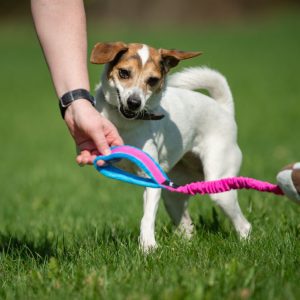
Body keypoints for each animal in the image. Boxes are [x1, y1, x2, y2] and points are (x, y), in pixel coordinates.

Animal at [91, 42, 251, 252]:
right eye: (124, 73)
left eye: (152, 80)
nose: (134, 103)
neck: (124, 122)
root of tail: (224, 109)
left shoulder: (151, 182)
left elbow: (147, 218)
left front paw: (148, 247)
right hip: (172, 194)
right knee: (187, 227)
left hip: (220, 188)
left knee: (244, 225)